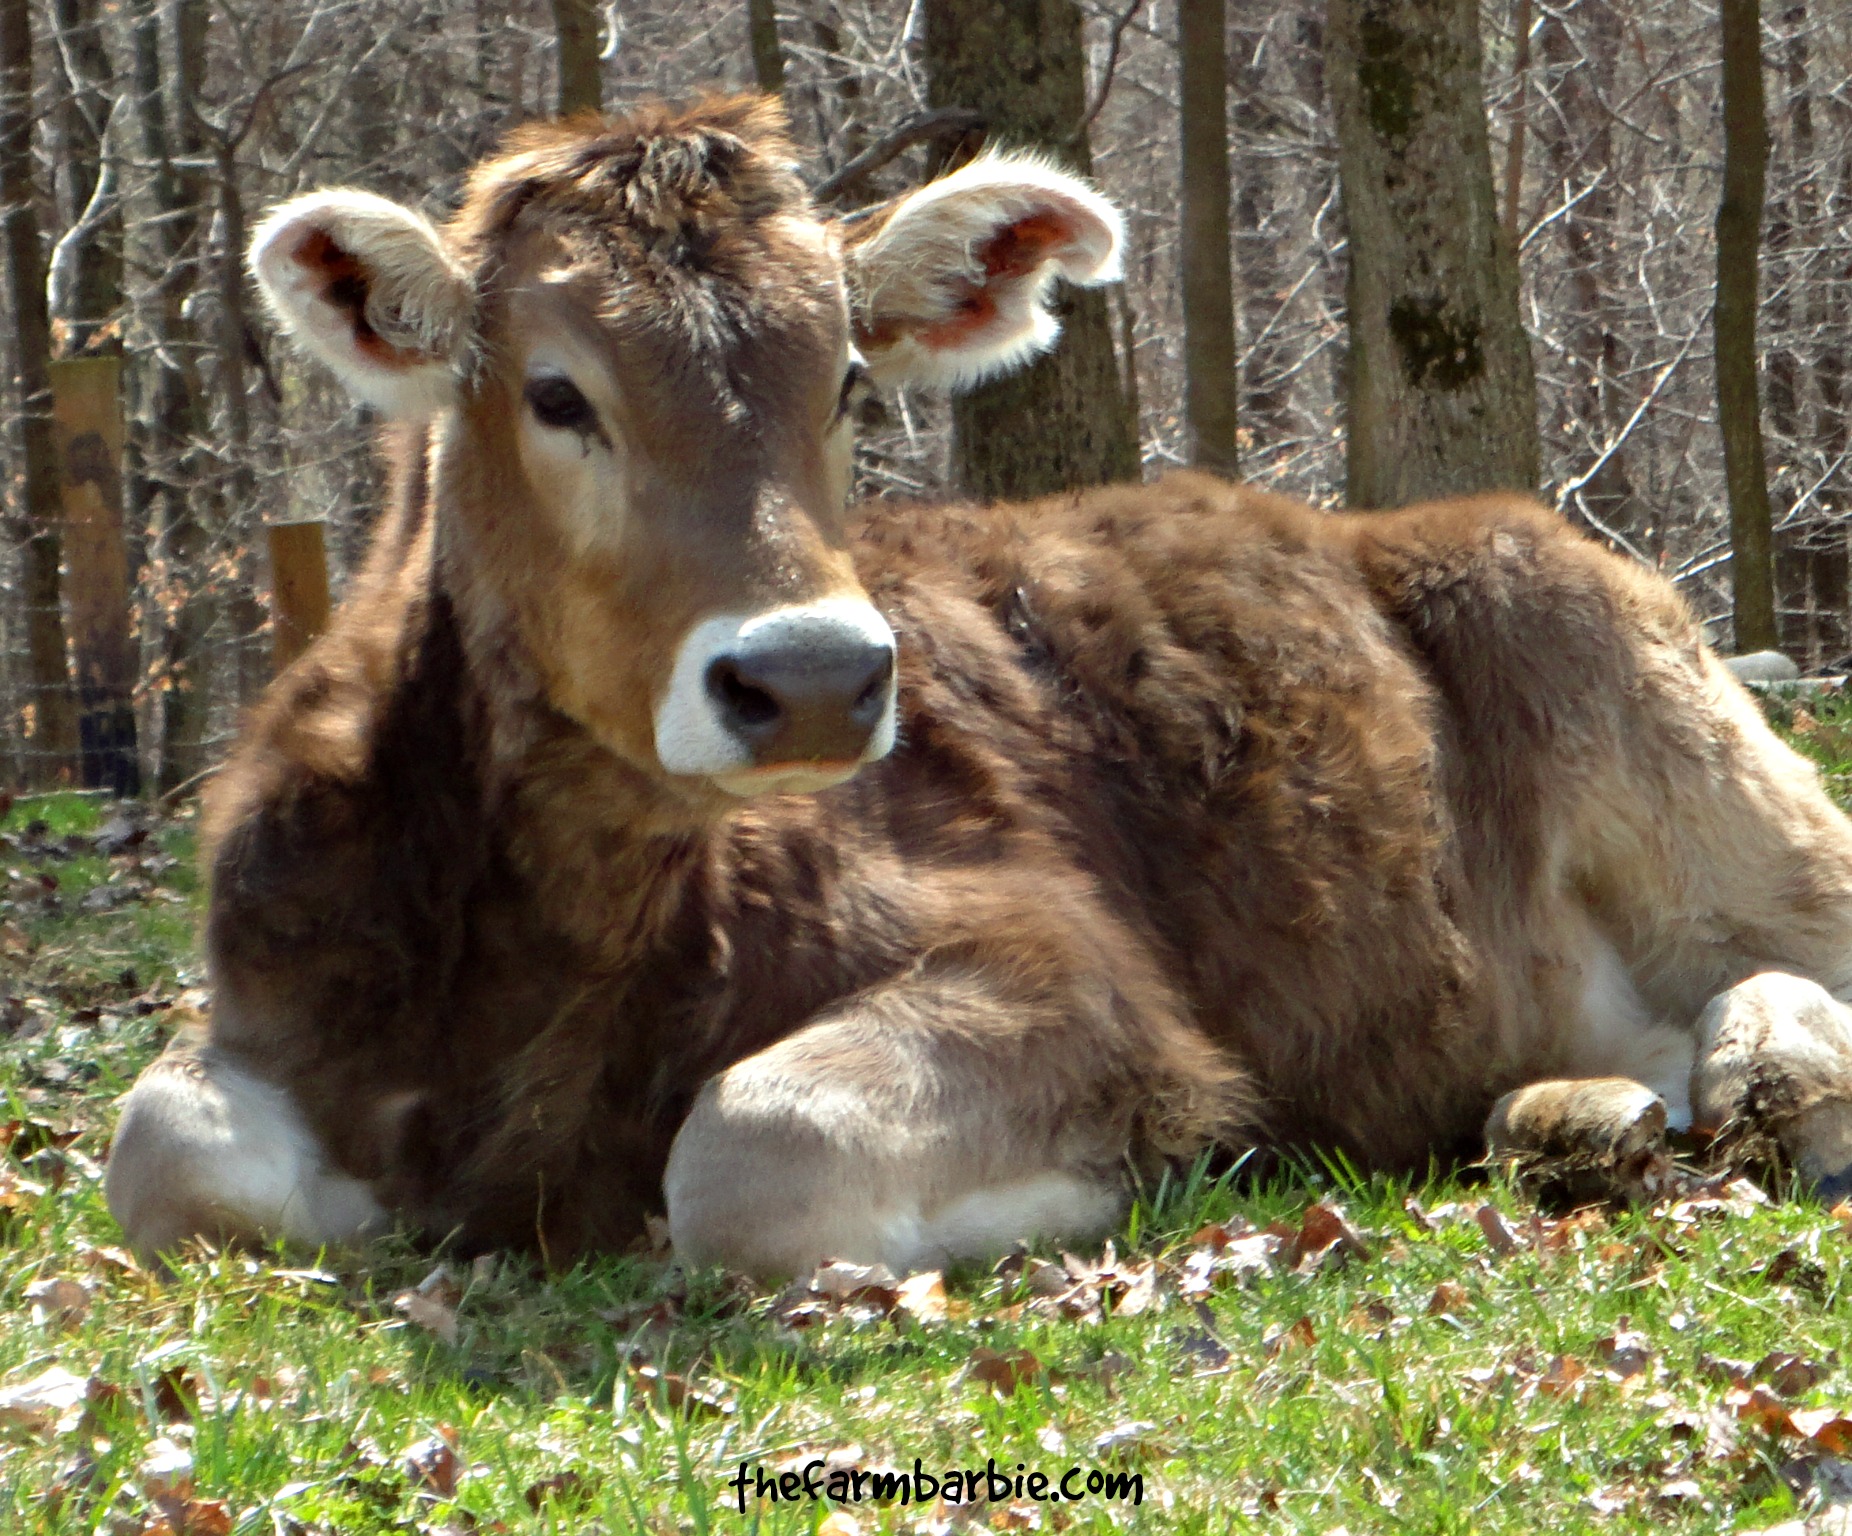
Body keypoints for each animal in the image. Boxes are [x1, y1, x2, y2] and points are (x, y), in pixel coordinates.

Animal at [106, 95, 1852, 1278]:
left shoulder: (1066, 970)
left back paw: (1781, 1069)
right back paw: (1593, 1111)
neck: (557, 940)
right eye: (555, 392)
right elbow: (158, 1154)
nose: (809, 678)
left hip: (1662, 731)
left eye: (844, 380)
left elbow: (751, 1147)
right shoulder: (273, 986)